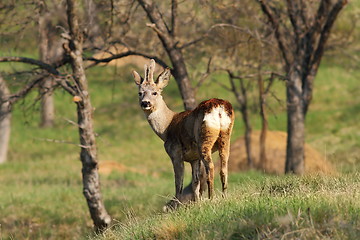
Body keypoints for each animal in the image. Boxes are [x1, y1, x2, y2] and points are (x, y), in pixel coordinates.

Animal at [131, 59, 233, 207]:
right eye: (140, 93)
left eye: (155, 92)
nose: (145, 103)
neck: (166, 127)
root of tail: (219, 107)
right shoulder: (194, 158)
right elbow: (195, 182)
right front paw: (196, 204)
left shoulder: (175, 152)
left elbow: (178, 182)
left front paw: (177, 206)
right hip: (226, 136)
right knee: (224, 168)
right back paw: (224, 197)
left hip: (205, 138)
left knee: (211, 167)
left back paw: (212, 198)